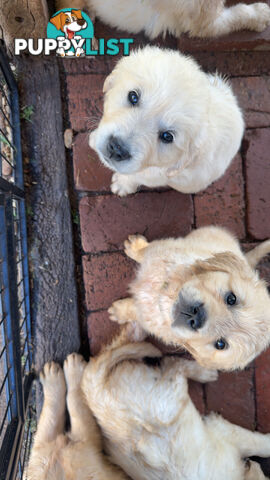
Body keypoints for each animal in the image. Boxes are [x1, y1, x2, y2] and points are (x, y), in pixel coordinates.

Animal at [82, 324, 270, 480]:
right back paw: (204, 373)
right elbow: (258, 443)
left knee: (114, 349)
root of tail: (95, 392)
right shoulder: (223, 433)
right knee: (173, 364)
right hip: (168, 398)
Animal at [88, 45, 245, 195]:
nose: (116, 148)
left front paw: (122, 185)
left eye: (167, 136)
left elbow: (134, 177)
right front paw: (94, 138)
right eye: (133, 96)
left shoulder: (155, 176)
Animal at [108, 226, 270, 372]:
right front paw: (135, 246)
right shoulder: (163, 249)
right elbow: (146, 250)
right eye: (231, 299)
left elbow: (135, 310)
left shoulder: (148, 317)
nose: (196, 316)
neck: (165, 294)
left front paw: (118, 312)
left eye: (220, 344)